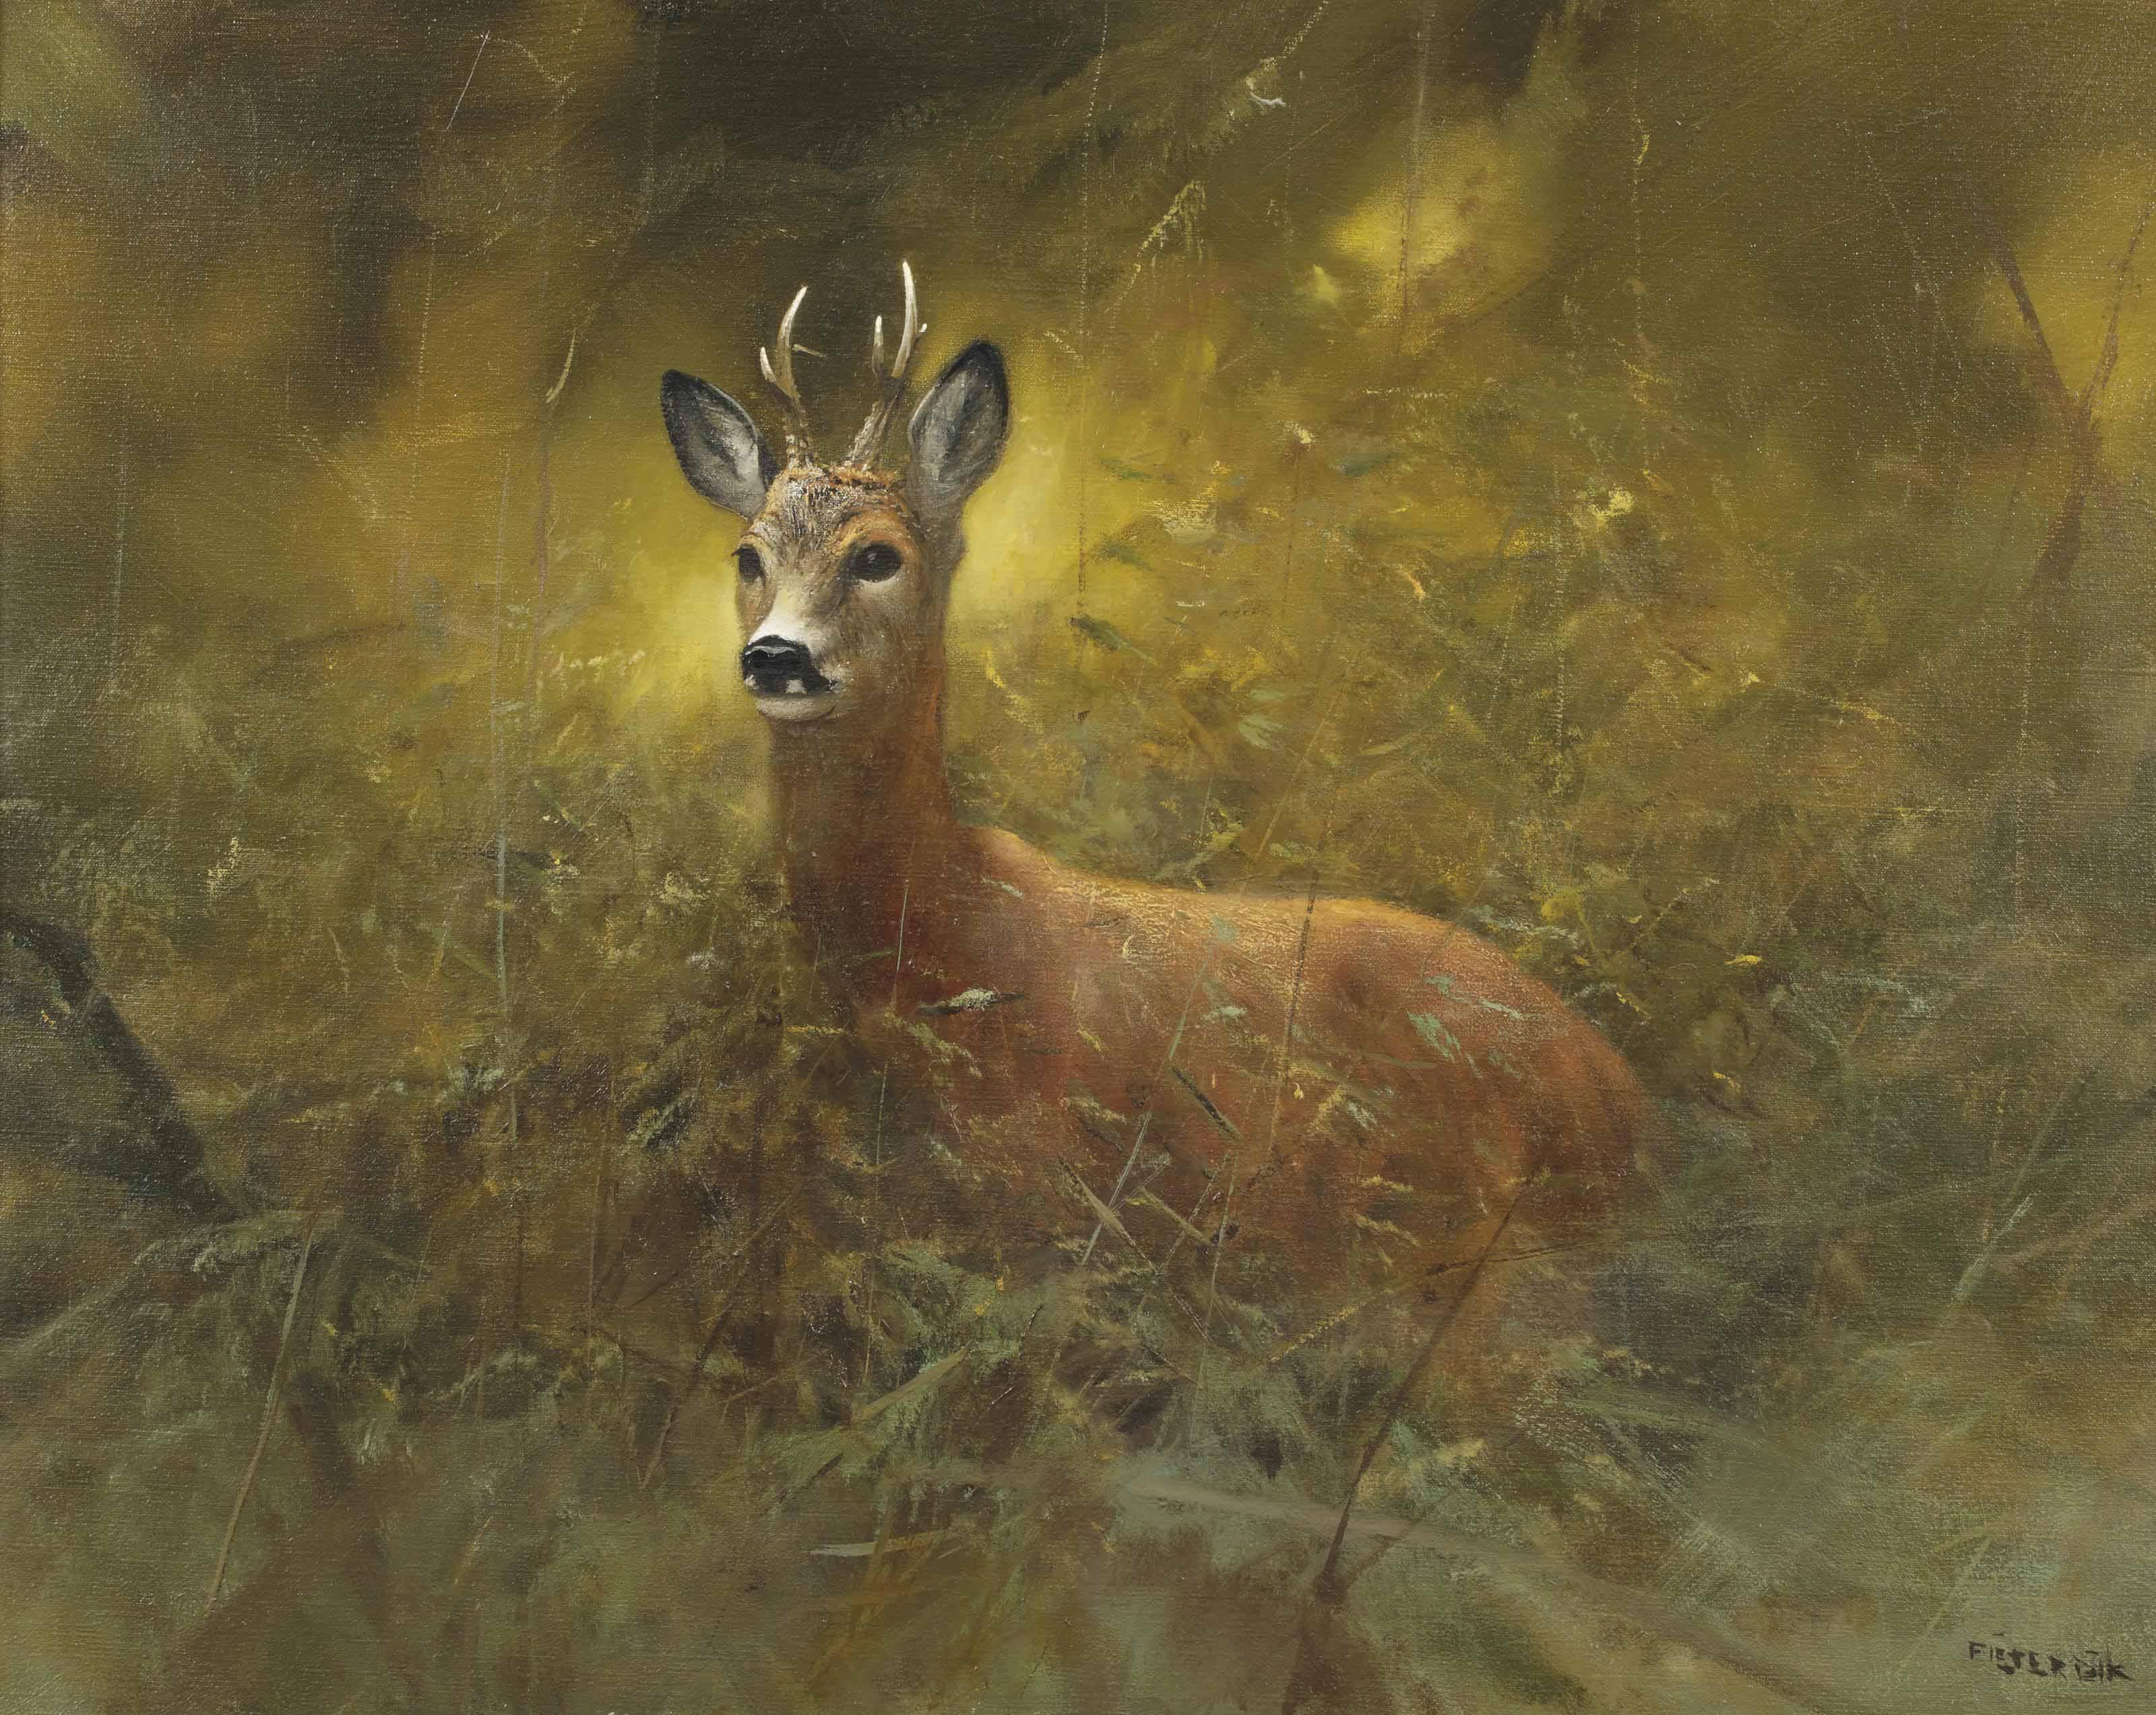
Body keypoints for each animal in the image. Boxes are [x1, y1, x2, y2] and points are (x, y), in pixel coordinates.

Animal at [659, 265, 1651, 1369]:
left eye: (877, 555)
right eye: (748, 556)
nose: (776, 657)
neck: (947, 931)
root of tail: (1623, 1102)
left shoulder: (1053, 1216)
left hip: (1496, 1296)